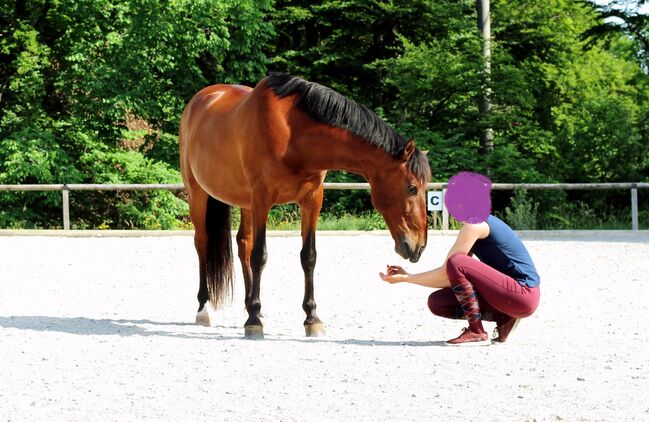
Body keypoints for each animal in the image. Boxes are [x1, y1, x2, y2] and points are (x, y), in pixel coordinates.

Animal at [178, 71, 430, 338]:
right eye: (412, 188)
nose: (419, 246)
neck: (293, 134)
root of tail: (199, 100)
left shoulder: (311, 201)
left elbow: (308, 256)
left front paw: (311, 318)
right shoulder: (262, 200)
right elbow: (260, 256)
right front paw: (254, 321)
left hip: (244, 202)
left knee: (243, 243)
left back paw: (249, 305)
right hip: (198, 194)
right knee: (203, 243)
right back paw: (205, 309)